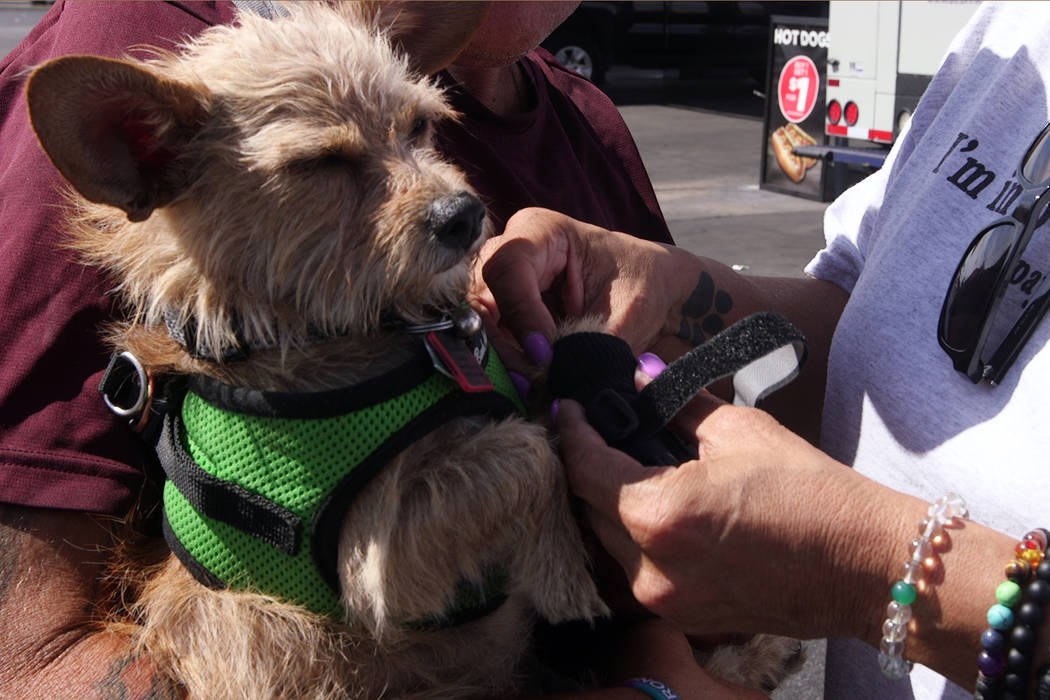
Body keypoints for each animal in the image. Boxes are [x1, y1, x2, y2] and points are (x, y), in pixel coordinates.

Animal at [22, 2, 793, 696]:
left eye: (420, 126)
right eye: (320, 164)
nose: (465, 215)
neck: (379, 330)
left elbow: (560, 370)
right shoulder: (377, 562)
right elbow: (534, 451)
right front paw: (568, 574)